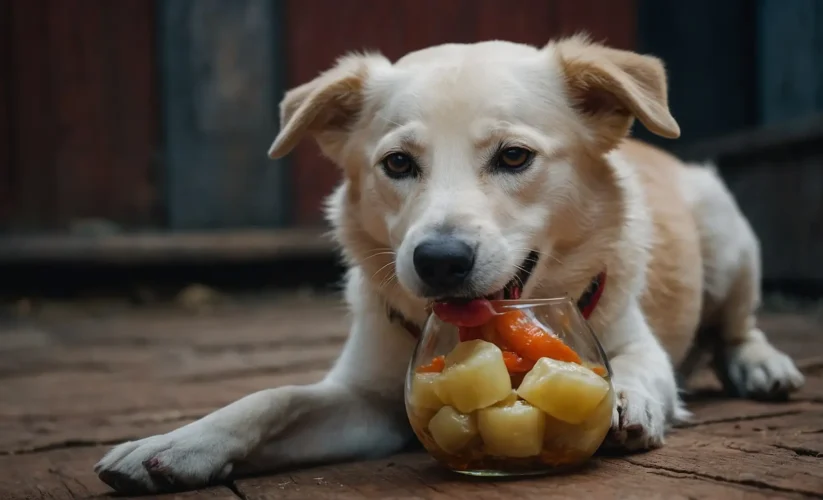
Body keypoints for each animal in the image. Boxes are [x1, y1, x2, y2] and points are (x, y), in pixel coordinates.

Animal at [91, 37, 804, 494]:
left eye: (514, 157)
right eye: (398, 163)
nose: (438, 260)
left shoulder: (633, 337)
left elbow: (635, 365)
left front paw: (626, 398)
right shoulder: (368, 402)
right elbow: (272, 398)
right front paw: (177, 446)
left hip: (727, 231)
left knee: (738, 326)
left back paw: (761, 364)